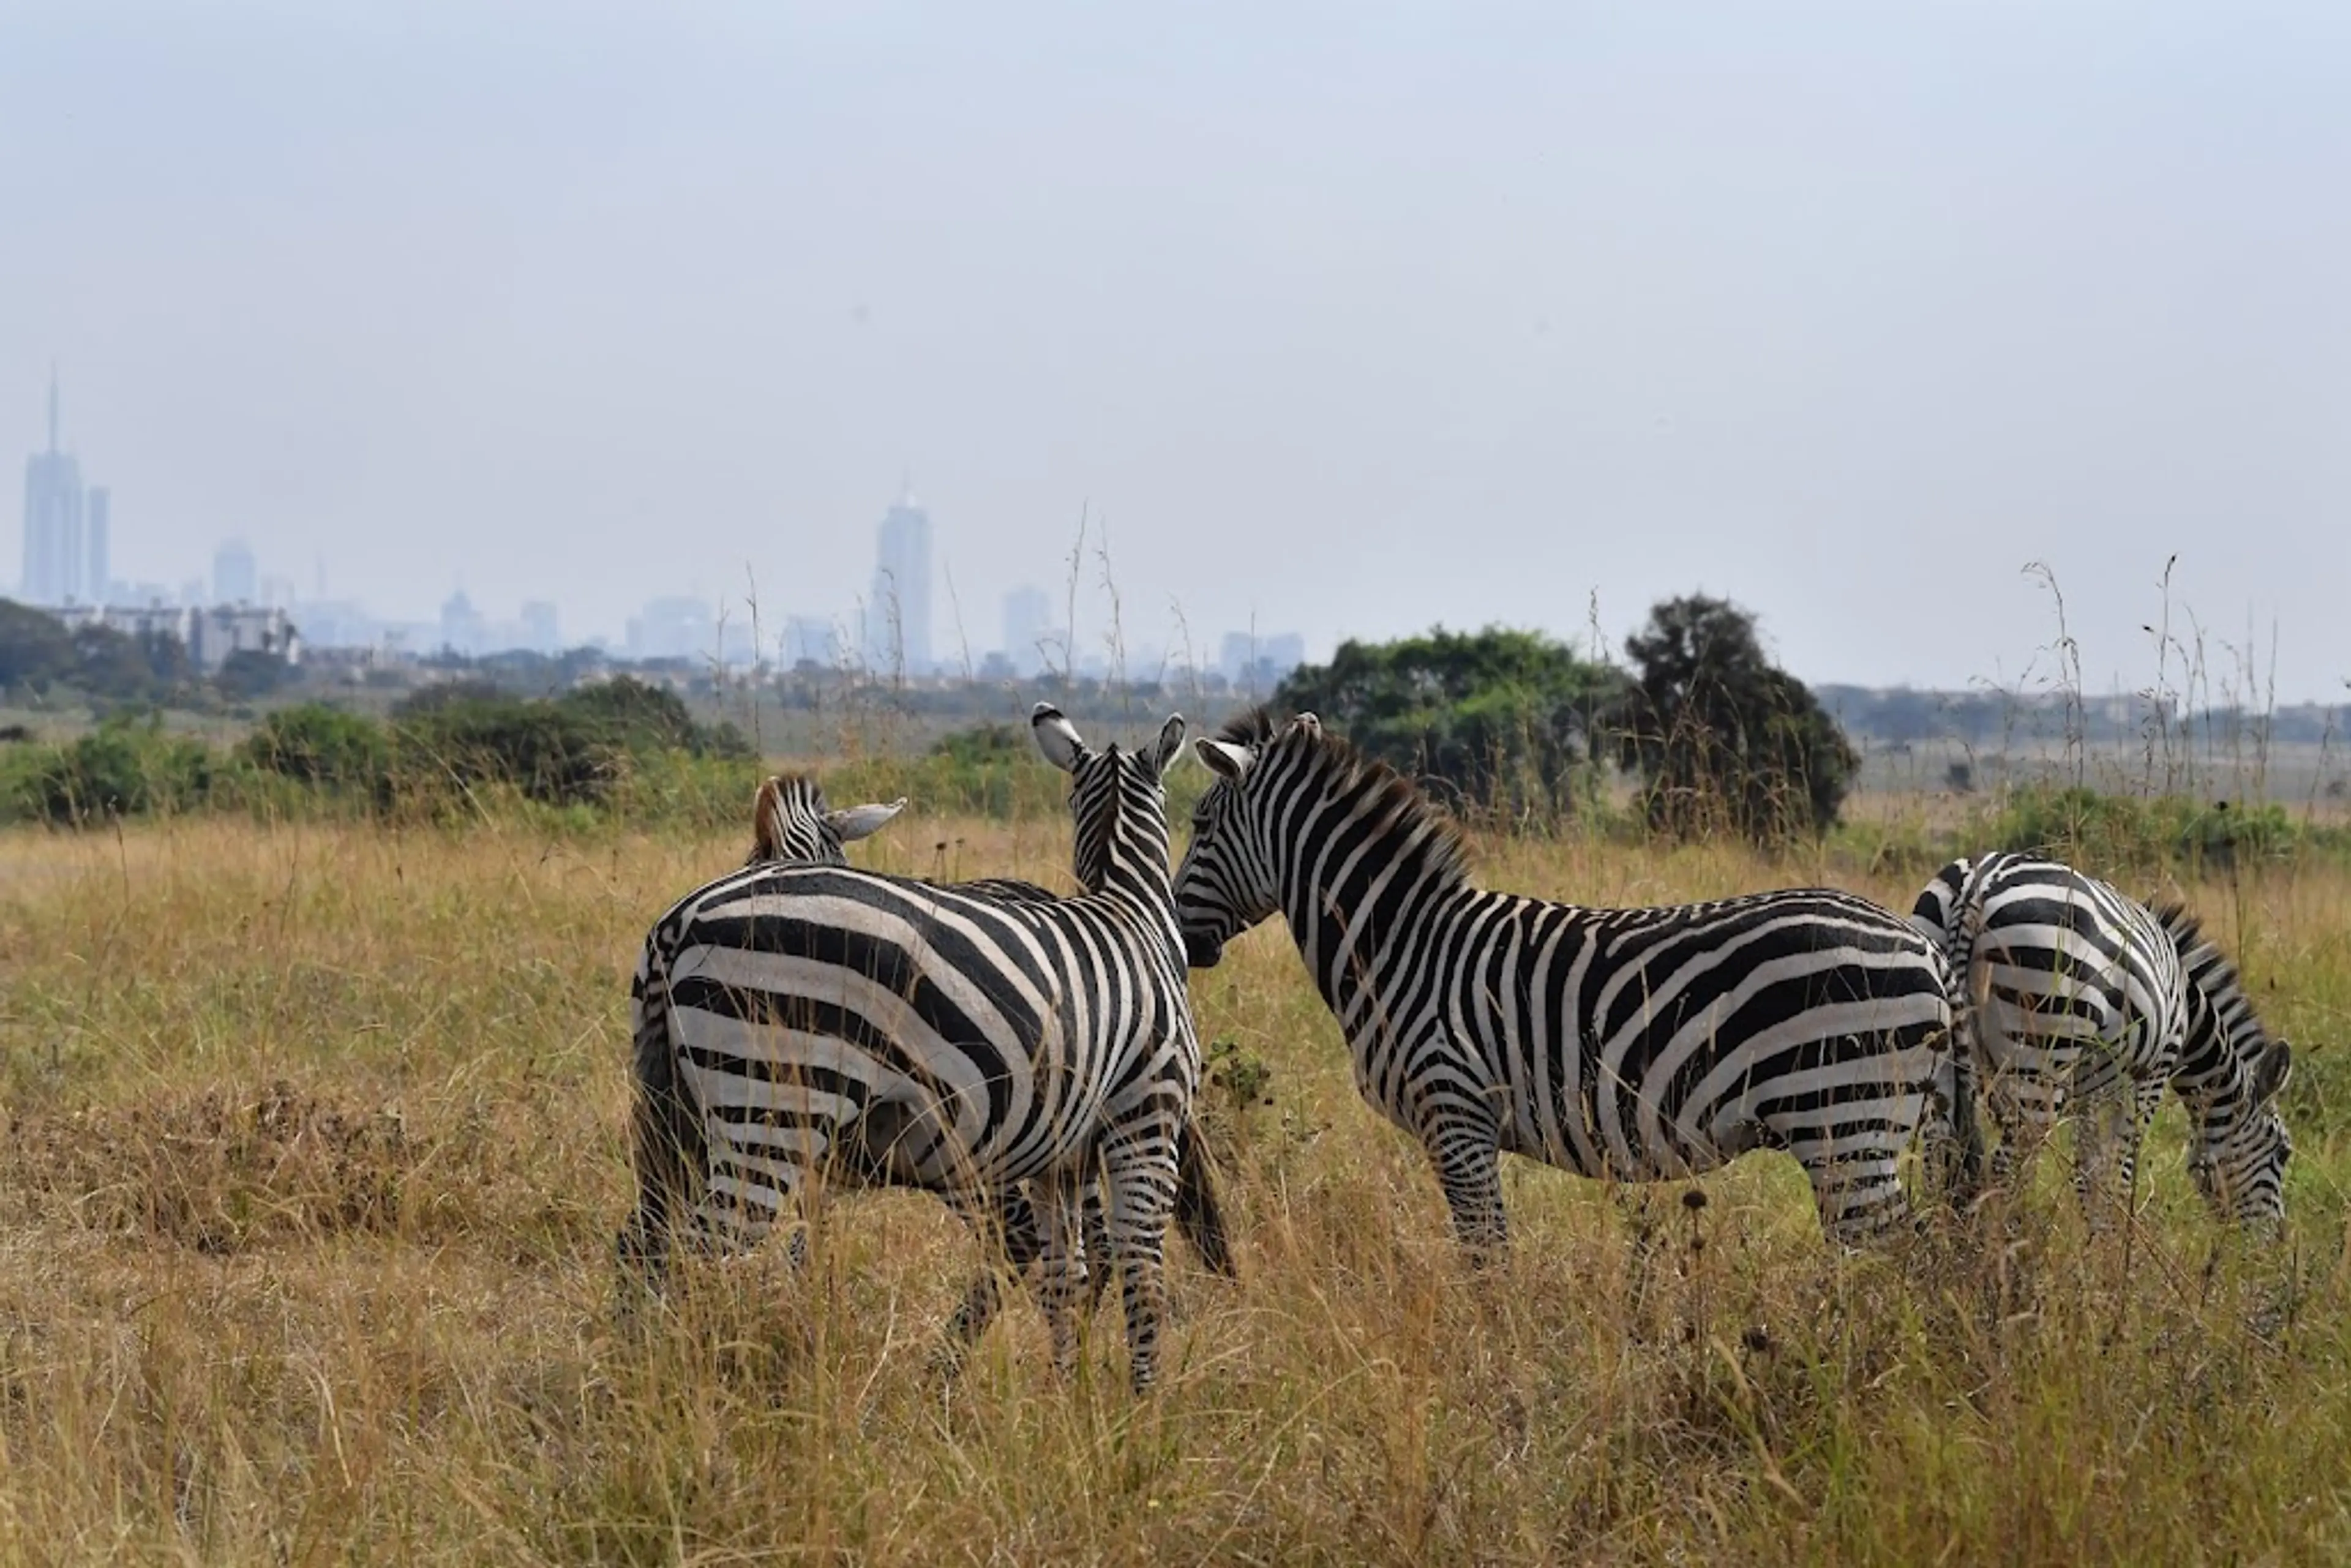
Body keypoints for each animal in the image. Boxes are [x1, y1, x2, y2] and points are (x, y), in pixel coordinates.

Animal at [625, 705, 1204, 1392]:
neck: (1129, 909)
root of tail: (679, 922)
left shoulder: (1063, 1148)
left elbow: (1070, 1271)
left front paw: (1068, 1394)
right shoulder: (1148, 1111)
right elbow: (1143, 1271)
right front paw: (1142, 1407)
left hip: (680, 1114)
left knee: (643, 1245)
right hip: (774, 1111)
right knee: (701, 1256)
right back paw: (694, 1388)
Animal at [1166, 710, 1974, 1250]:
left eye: (1200, 824)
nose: (1179, 938)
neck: (1398, 943)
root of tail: (1922, 945)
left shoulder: (1454, 1110)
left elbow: (1487, 1258)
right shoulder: (1465, 1121)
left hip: (1846, 1117)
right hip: (1873, 1123)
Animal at [1909, 850, 2294, 1231]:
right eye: (2283, 1152)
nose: (2276, 1239)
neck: (2188, 1007)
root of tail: (1980, 883)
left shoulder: (2091, 1088)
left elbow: (2089, 1169)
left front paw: (2096, 1235)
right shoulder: (2150, 1072)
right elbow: (2120, 1169)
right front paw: (2116, 1241)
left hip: (1943, 1048)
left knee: (1938, 1153)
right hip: (2041, 1049)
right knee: (2008, 1162)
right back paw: (2004, 1243)